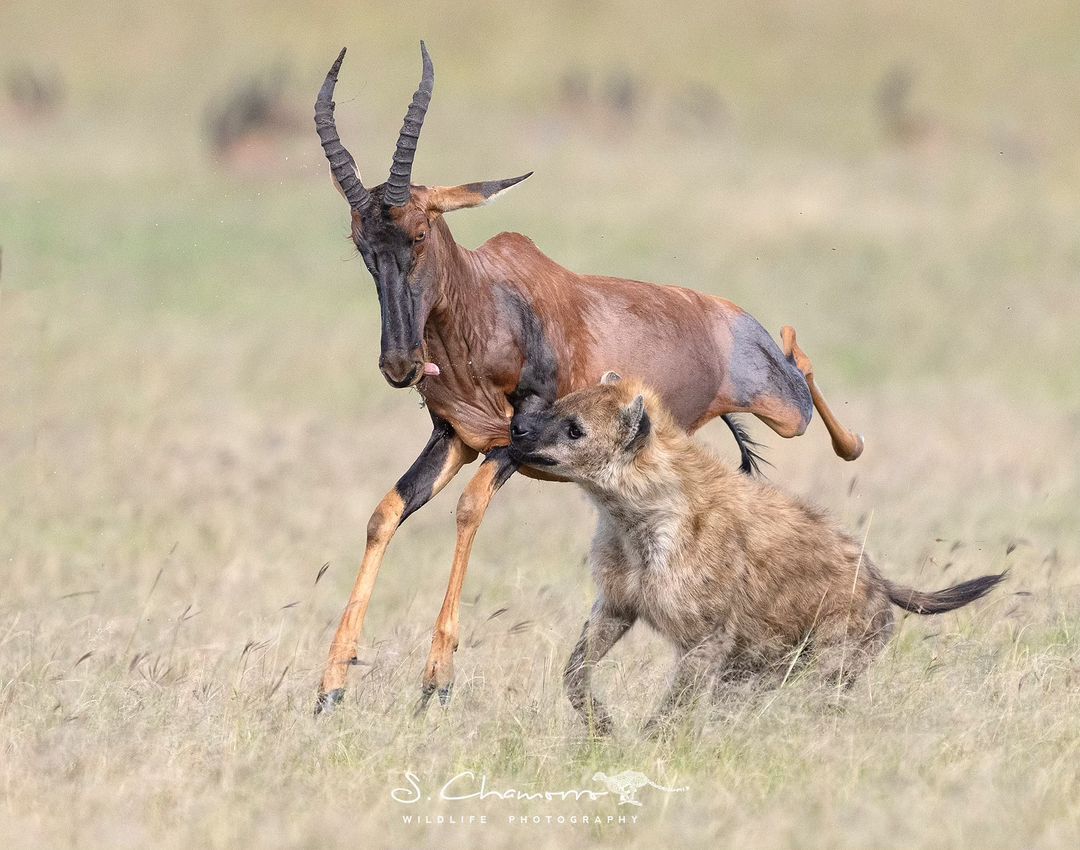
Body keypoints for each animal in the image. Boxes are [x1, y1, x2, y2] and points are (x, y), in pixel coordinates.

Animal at [311, 43, 859, 712]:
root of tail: (730, 315)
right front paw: (332, 686)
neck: (492, 304)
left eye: (419, 233)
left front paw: (436, 682)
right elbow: (385, 512)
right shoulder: (455, 438)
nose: (400, 364)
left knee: (803, 373)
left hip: (782, 405)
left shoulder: (519, 438)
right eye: (362, 245)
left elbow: (468, 509)